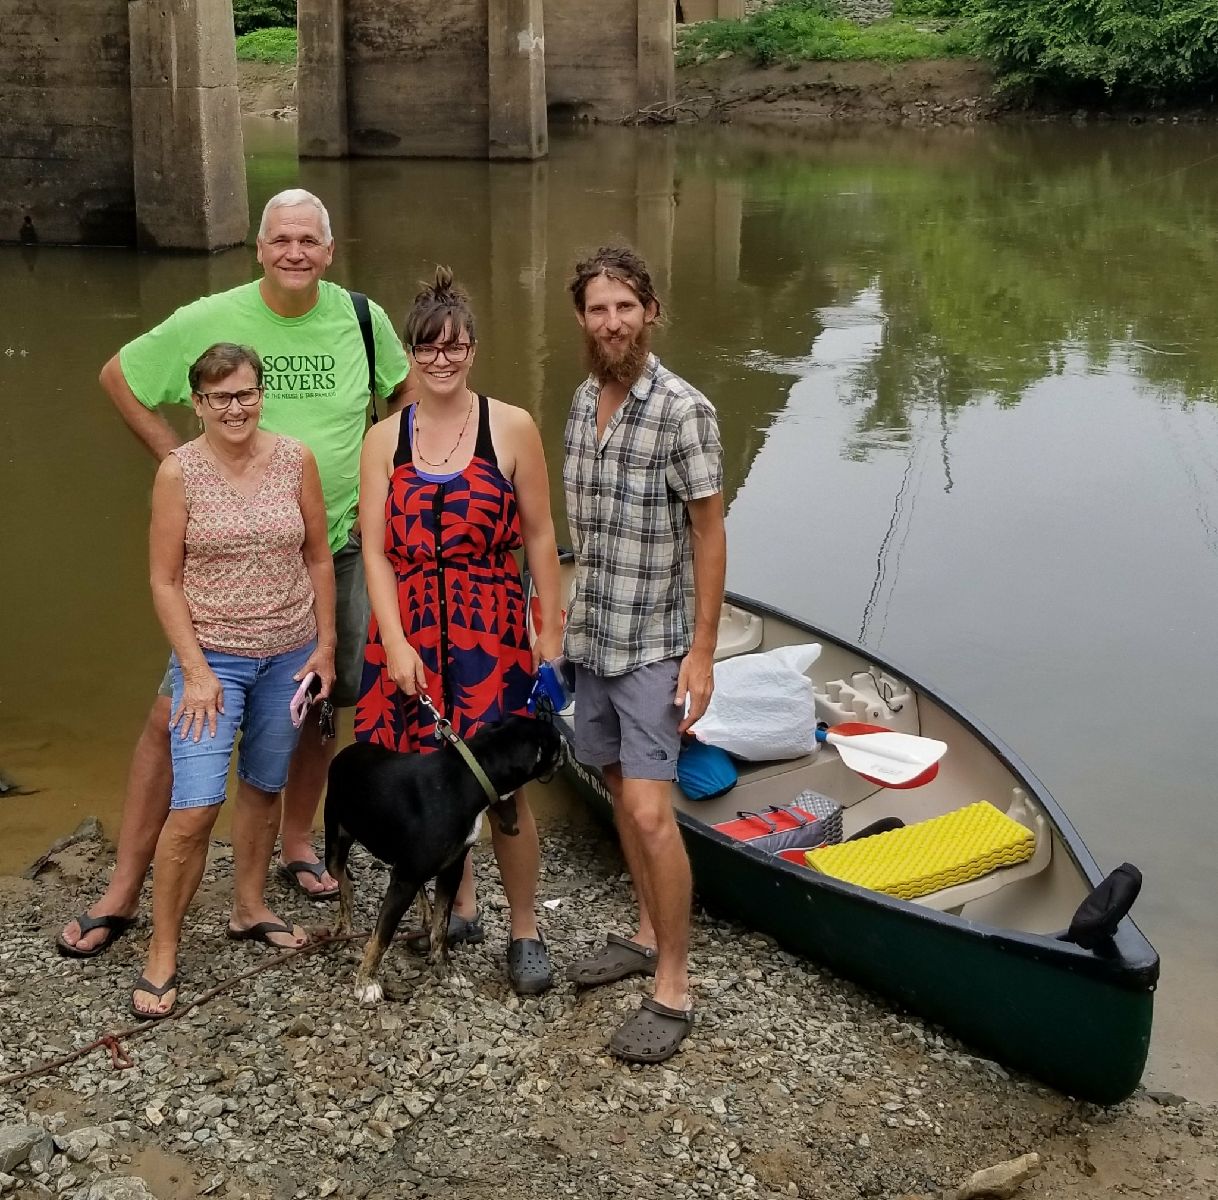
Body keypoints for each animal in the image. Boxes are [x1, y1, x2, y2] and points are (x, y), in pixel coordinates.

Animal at [321, 711, 562, 1003]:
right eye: (554, 742)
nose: (564, 745)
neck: (468, 778)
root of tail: (345, 752)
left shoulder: (449, 870)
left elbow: (442, 925)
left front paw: (446, 969)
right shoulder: (406, 877)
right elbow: (382, 935)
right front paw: (366, 982)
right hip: (335, 845)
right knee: (345, 884)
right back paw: (343, 927)